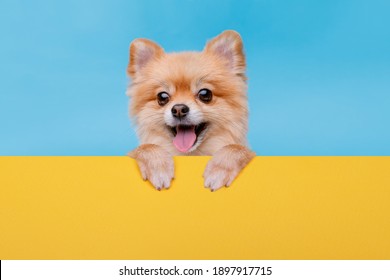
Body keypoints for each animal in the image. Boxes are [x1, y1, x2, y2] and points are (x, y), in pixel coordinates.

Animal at [125, 31, 256, 192]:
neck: (190, 155)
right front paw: (158, 169)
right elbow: (145, 148)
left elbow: (235, 148)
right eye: (162, 97)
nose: (179, 109)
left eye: (205, 94)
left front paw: (218, 171)